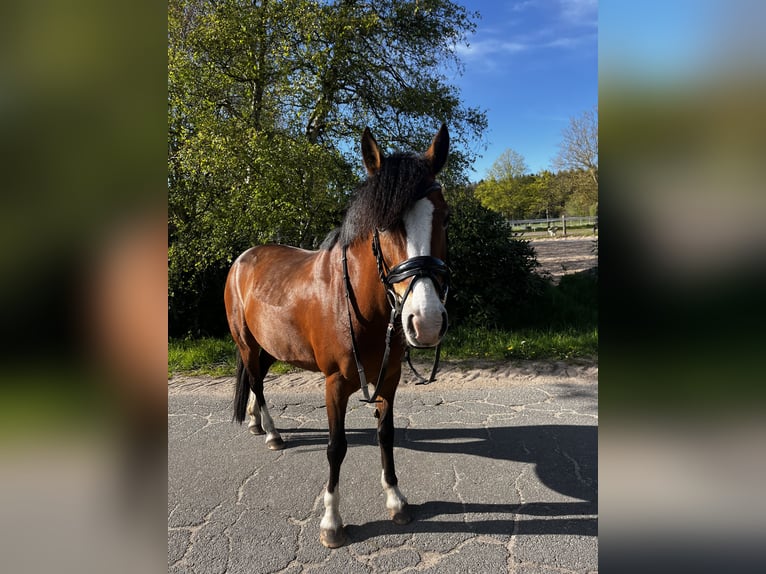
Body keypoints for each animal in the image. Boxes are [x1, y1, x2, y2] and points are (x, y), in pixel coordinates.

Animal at [224, 124, 451, 548]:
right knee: (258, 385)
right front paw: (331, 521)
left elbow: (385, 434)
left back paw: (255, 422)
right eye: (384, 223)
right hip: (246, 342)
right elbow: (336, 447)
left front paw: (396, 500)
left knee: (257, 379)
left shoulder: (389, 378)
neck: (360, 306)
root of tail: (242, 259)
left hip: (268, 347)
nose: (426, 321)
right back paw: (272, 433)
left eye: (444, 216)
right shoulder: (335, 384)